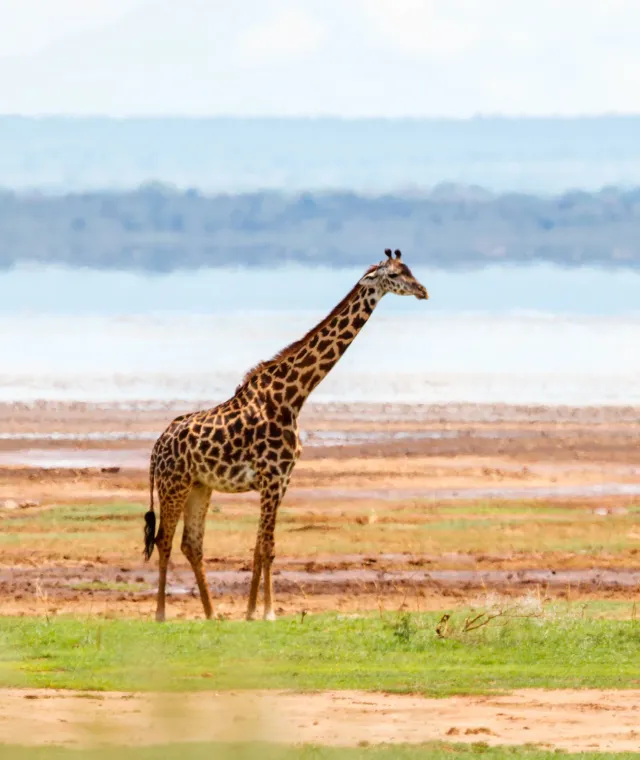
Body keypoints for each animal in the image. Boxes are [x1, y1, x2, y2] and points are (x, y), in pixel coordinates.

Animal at [143, 249, 428, 622]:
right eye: (394, 275)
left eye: (410, 270)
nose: (423, 291)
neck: (293, 396)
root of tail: (156, 447)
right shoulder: (271, 477)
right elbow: (266, 547)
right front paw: (265, 612)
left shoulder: (282, 481)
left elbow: (263, 547)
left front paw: (255, 611)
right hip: (173, 484)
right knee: (163, 540)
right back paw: (162, 614)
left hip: (199, 486)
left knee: (191, 543)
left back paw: (212, 613)